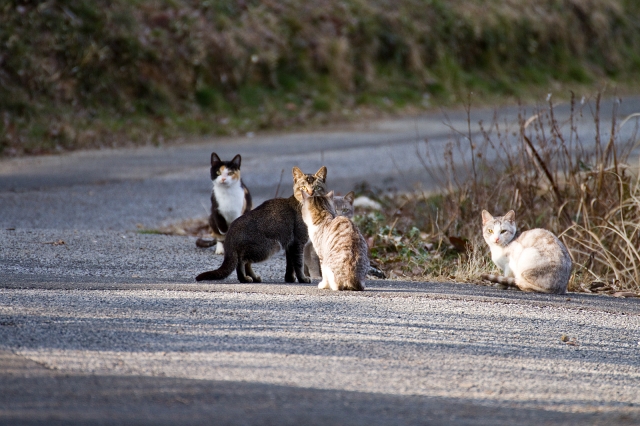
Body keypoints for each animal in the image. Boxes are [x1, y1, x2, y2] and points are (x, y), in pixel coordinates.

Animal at [195, 166, 328, 282]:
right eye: (303, 188)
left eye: (316, 188)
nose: (310, 193)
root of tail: (231, 231)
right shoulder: (297, 242)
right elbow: (298, 264)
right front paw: (303, 279)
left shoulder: (290, 244)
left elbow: (290, 265)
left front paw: (290, 278)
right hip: (268, 246)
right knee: (241, 260)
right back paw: (244, 279)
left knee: (246, 262)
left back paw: (253, 277)